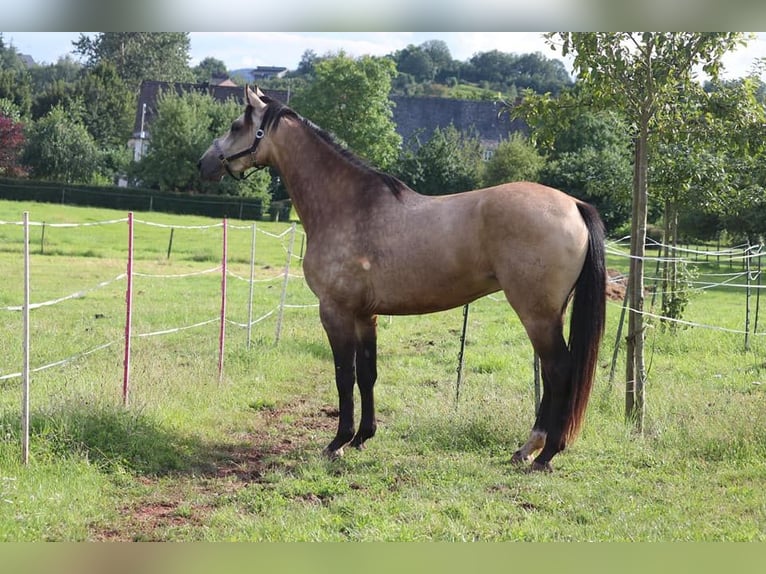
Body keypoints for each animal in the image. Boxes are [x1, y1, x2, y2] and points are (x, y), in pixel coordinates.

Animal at [198, 85, 608, 472]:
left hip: (536, 315)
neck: (349, 206)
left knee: (559, 371)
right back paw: (528, 449)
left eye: (235, 126)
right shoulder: (366, 315)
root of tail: (573, 204)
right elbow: (368, 373)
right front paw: (362, 437)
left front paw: (337, 443)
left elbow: (344, 375)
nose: (204, 163)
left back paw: (544, 453)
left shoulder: (335, 312)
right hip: (550, 314)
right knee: (554, 375)